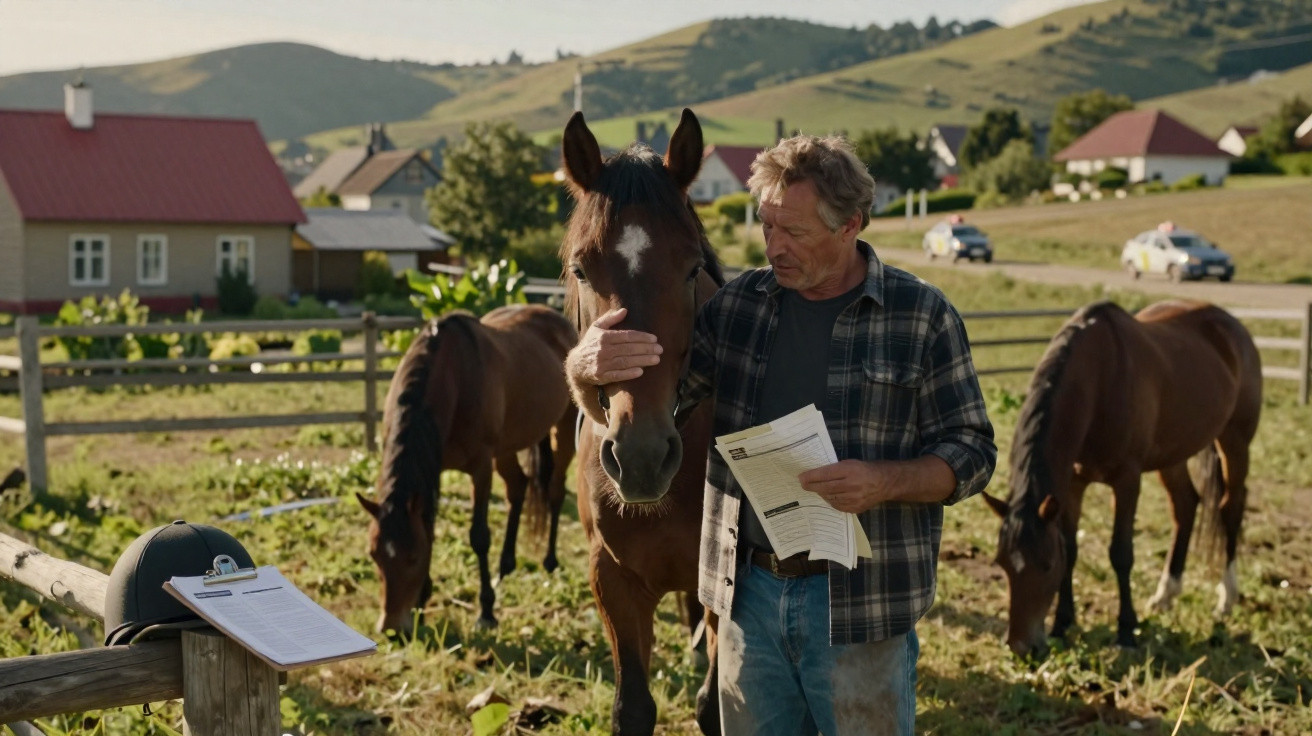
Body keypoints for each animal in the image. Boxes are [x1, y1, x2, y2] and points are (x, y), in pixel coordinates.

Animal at [355, 304, 578, 634]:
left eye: (413, 557)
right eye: (374, 554)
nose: (393, 629)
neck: (452, 379)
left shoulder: (481, 469)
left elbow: (479, 537)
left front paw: (486, 611)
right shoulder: (433, 470)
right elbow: (429, 527)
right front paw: (422, 604)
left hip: (562, 428)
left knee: (555, 489)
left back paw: (549, 561)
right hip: (508, 447)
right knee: (519, 487)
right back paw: (505, 567)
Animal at [560, 108, 725, 735]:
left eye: (692, 268)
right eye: (581, 269)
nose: (642, 457)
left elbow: (715, 706)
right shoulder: (615, 582)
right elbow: (632, 707)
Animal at [984, 299, 1262, 658]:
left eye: (1045, 565)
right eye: (1002, 563)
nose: (1022, 647)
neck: (1098, 381)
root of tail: (1232, 325)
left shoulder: (1128, 480)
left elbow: (1121, 553)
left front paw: (1126, 630)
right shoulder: (1073, 485)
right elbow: (1071, 548)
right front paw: (1062, 623)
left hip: (1235, 441)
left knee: (1231, 508)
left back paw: (1226, 597)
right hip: (1173, 454)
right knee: (1186, 506)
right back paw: (1166, 594)